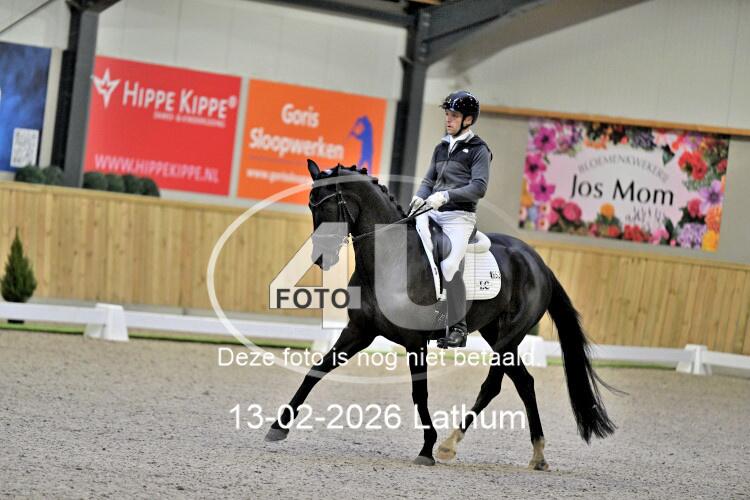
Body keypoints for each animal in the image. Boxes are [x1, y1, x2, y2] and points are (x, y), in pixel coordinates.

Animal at [264, 160, 616, 468]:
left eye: (326, 206)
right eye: (311, 206)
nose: (321, 258)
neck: (389, 260)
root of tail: (538, 262)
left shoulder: (414, 341)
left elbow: (420, 394)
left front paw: (427, 448)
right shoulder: (360, 331)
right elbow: (316, 370)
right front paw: (278, 426)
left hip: (509, 337)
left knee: (493, 386)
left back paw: (448, 445)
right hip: (496, 334)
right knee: (525, 383)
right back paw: (538, 455)